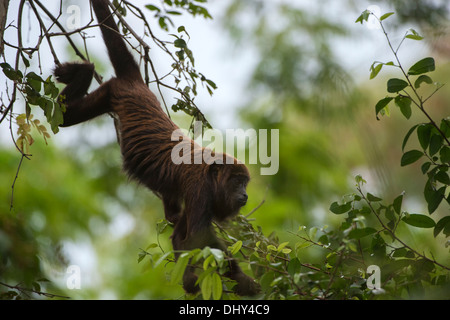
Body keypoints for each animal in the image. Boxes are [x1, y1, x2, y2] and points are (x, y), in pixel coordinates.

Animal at [55, 0, 260, 296]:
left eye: (245, 183)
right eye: (237, 182)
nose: (244, 195)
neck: (211, 173)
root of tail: (138, 85)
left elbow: (182, 235)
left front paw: (190, 279)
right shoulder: (200, 189)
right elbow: (199, 236)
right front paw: (244, 281)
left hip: (108, 93)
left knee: (64, 116)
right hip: (116, 91)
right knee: (64, 117)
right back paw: (83, 71)